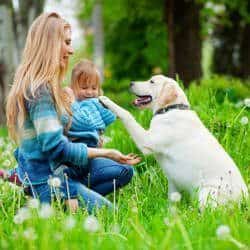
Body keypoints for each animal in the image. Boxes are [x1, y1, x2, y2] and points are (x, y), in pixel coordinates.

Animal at [98, 75, 247, 208]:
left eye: (152, 81)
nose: (131, 83)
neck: (171, 109)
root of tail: (245, 199)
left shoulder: (146, 141)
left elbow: (127, 114)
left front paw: (107, 100)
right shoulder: (173, 182)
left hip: (207, 193)